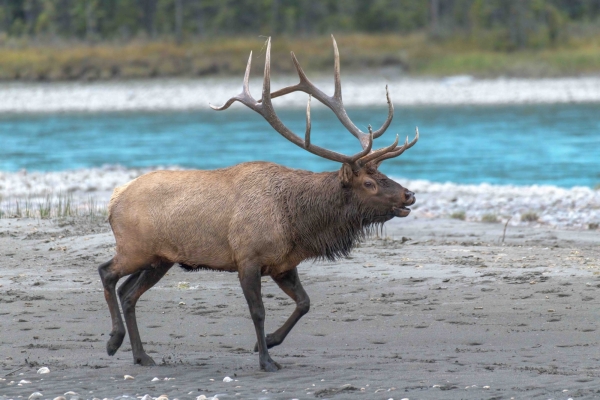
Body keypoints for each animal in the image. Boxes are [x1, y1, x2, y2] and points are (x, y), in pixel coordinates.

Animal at [97, 36, 418, 372]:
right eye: (368, 183)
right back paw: (113, 341)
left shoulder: (283, 264)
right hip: (135, 248)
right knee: (107, 272)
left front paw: (269, 342)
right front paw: (266, 359)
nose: (408, 195)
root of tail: (115, 197)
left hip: (160, 258)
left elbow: (304, 303)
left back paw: (141, 355)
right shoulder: (247, 258)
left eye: (382, 174)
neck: (297, 224)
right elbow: (258, 311)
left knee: (128, 293)